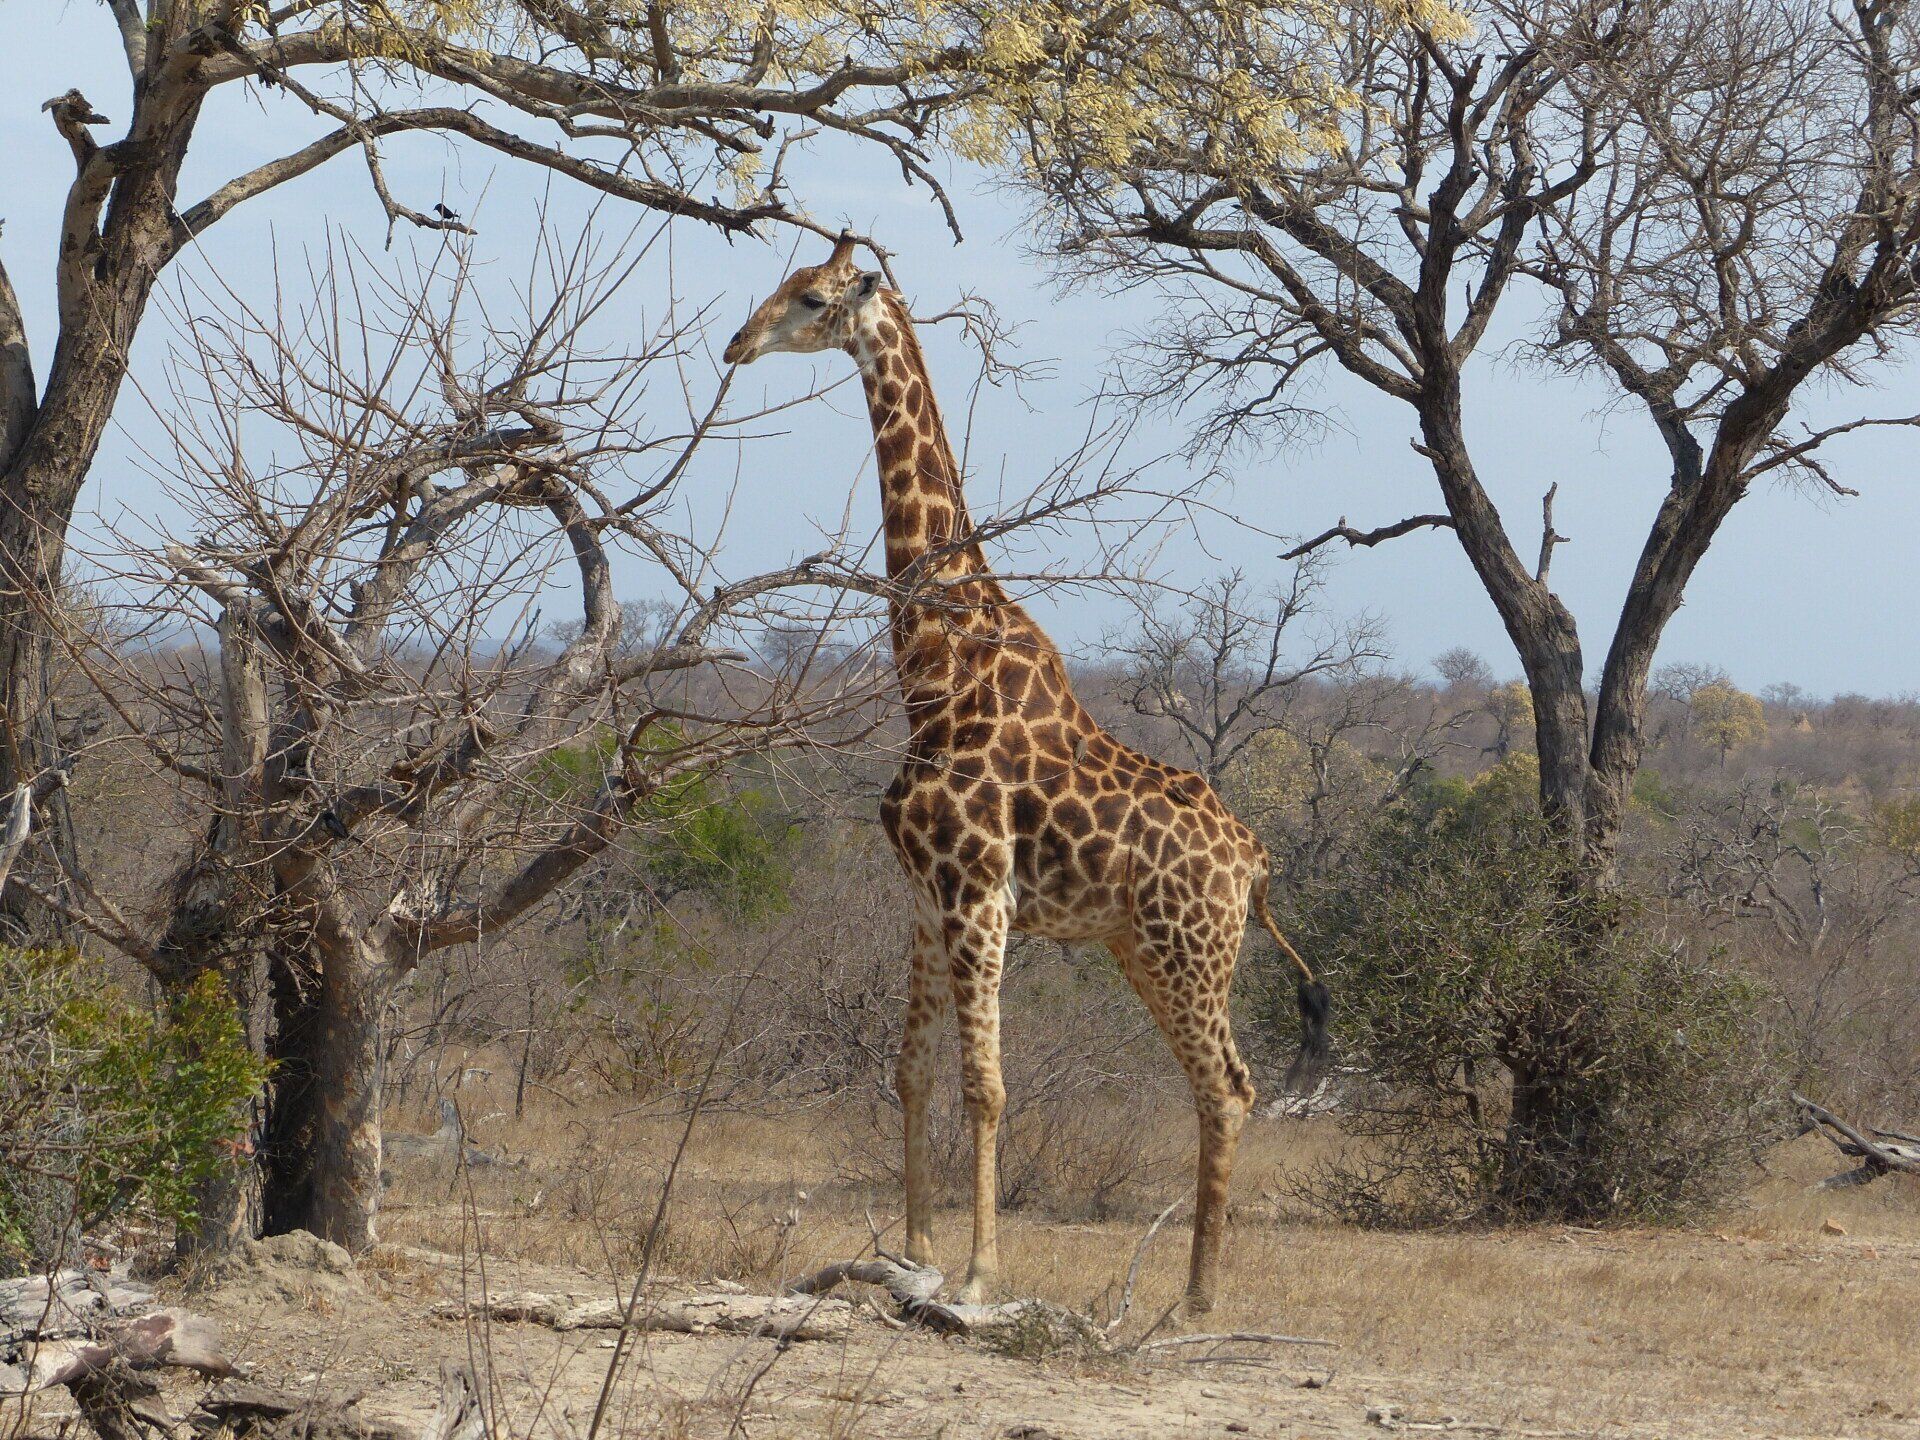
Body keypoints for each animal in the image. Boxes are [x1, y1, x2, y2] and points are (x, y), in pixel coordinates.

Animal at [724, 235, 1328, 1313]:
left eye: (814, 298)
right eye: (782, 284)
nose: (736, 344)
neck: (933, 668)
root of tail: (1257, 862)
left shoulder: (978, 895)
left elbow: (987, 1086)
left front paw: (976, 1273)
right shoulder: (925, 898)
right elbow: (912, 1073)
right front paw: (913, 1253)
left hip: (1189, 949)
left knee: (1228, 1086)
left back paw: (1196, 1300)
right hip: (1142, 948)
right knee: (1225, 1084)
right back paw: (1193, 1291)